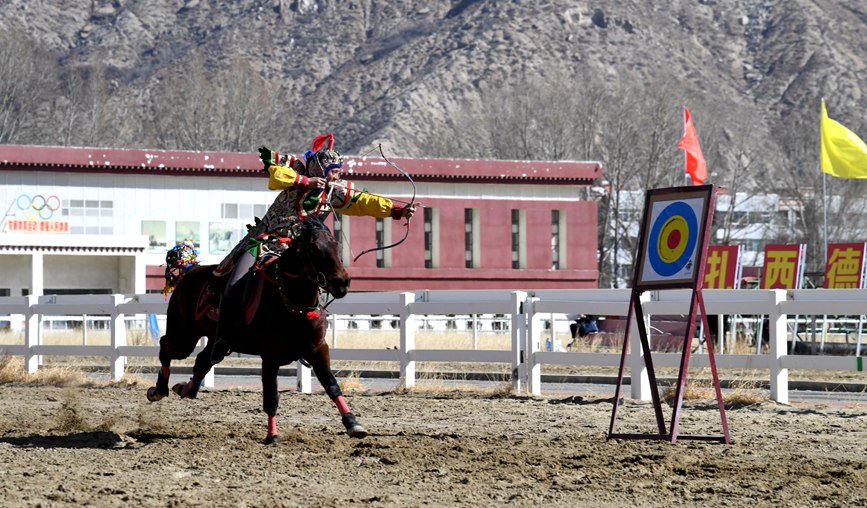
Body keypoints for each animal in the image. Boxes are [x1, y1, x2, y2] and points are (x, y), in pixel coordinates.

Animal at [147, 216, 368, 442]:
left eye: (336, 245)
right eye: (313, 249)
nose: (341, 282)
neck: (288, 301)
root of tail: (189, 270)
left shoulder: (318, 349)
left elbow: (331, 385)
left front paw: (353, 423)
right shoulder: (270, 357)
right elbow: (271, 396)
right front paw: (272, 435)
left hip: (215, 339)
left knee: (203, 361)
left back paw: (186, 389)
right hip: (184, 336)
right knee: (166, 347)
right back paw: (158, 390)